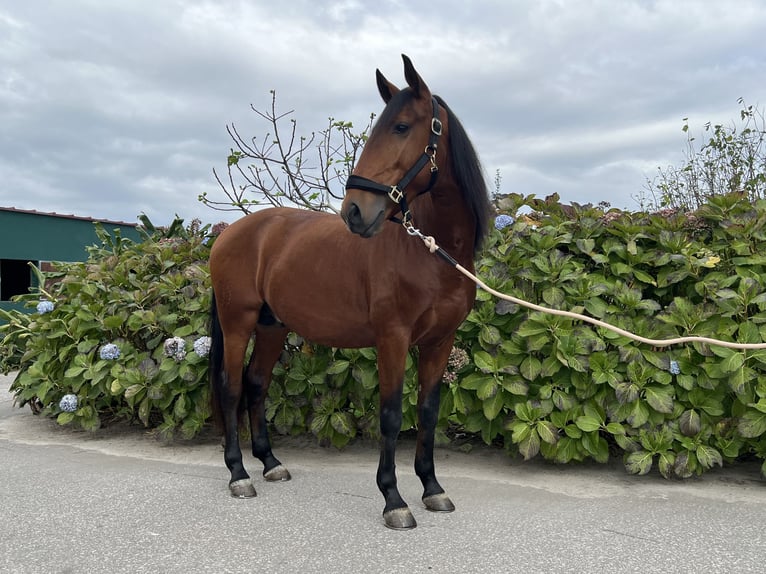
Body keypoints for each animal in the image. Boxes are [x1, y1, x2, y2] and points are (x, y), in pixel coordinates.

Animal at [207, 54, 492, 532]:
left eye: (401, 126)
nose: (355, 212)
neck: (430, 251)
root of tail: (230, 232)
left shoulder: (440, 341)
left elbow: (428, 413)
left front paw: (432, 489)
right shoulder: (393, 338)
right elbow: (391, 416)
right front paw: (394, 499)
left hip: (272, 326)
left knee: (256, 383)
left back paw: (270, 464)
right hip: (237, 322)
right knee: (230, 388)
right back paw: (239, 474)